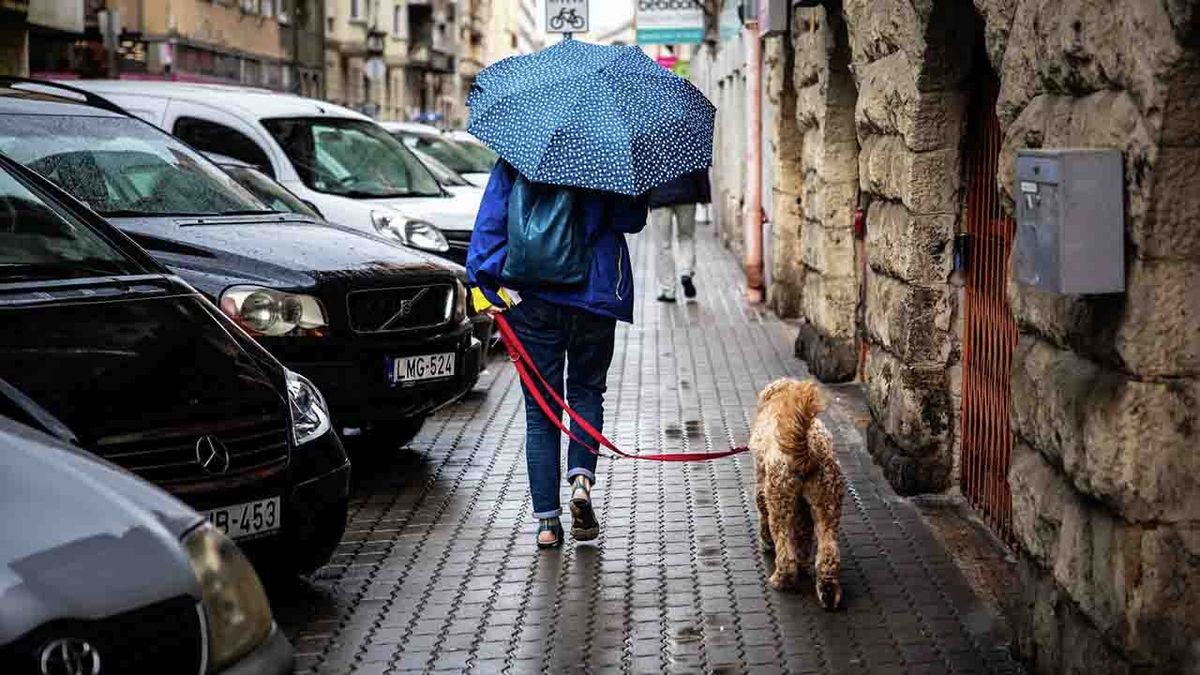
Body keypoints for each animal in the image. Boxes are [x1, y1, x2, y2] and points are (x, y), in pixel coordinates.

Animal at [748, 374, 844, 607]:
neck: (781, 397)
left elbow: (762, 511)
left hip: (779, 497)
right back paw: (828, 590)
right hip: (827, 501)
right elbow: (803, 534)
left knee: (784, 550)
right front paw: (804, 562)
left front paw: (765, 541)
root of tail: (811, 449)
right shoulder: (803, 507)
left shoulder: (762, 482)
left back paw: (781, 579)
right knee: (828, 552)